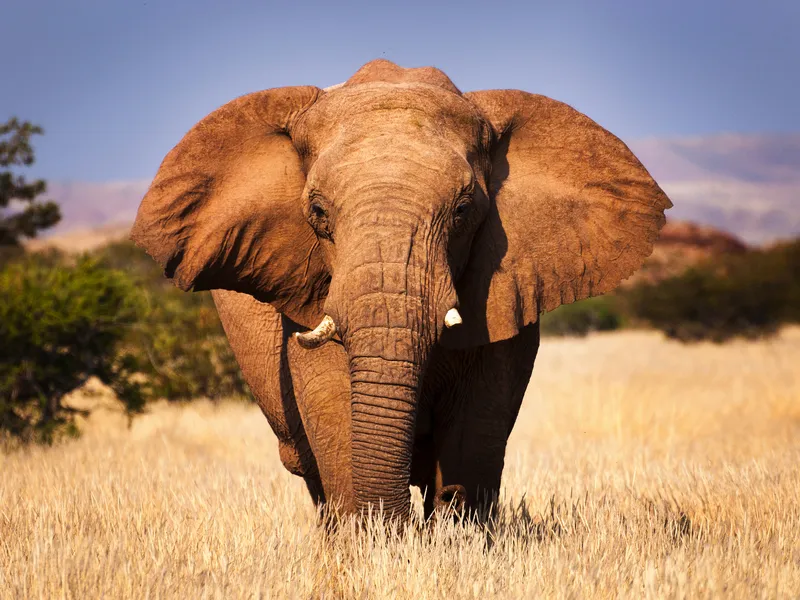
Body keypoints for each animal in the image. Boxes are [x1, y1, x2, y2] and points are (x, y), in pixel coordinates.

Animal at [130, 59, 672, 522]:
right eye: (318, 212)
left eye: (463, 210)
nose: (398, 522)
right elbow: (333, 407)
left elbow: (475, 429)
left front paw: (453, 534)